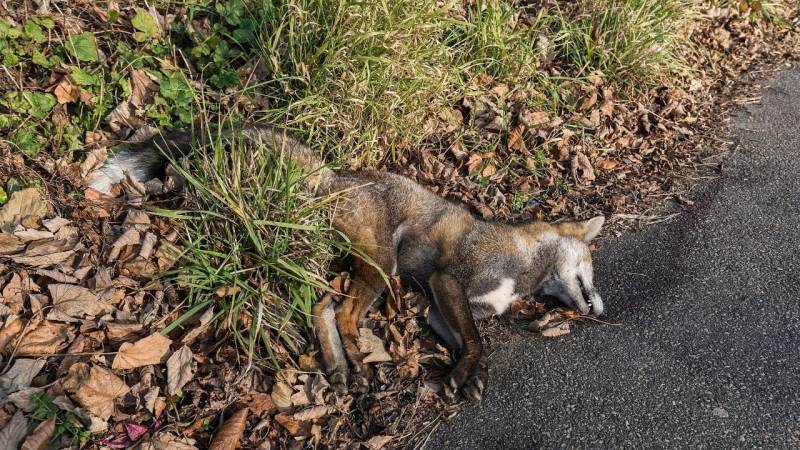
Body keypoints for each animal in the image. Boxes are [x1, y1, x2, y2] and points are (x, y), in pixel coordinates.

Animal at [90, 125, 604, 400]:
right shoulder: (448, 281)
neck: (521, 263)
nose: (600, 309)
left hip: (357, 269)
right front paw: (463, 376)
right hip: (381, 267)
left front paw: (468, 377)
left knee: (323, 307)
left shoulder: (438, 309)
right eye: (592, 270)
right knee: (345, 315)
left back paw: (338, 365)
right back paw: (354, 360)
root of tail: (332, 176)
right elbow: (477, 342)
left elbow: (467, 343)